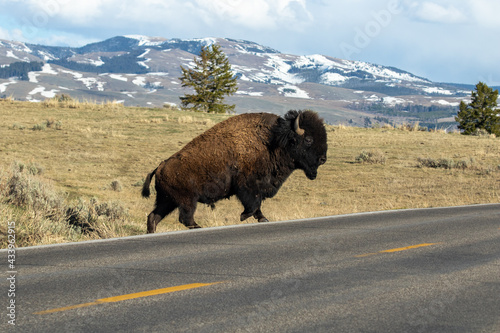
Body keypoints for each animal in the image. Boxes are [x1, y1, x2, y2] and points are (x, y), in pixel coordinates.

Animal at [142, 110, 328, 232]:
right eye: (308, 139)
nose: (323, 159)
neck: (274, 142)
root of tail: (160, 166)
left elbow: (257, 205)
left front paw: (262, 219)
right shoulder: (247, 186)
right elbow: (253, 204)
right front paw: (244, 216)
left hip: (168, 201)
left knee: (154, 216)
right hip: (187, 200)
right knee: (184, 217)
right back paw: (198, 227)